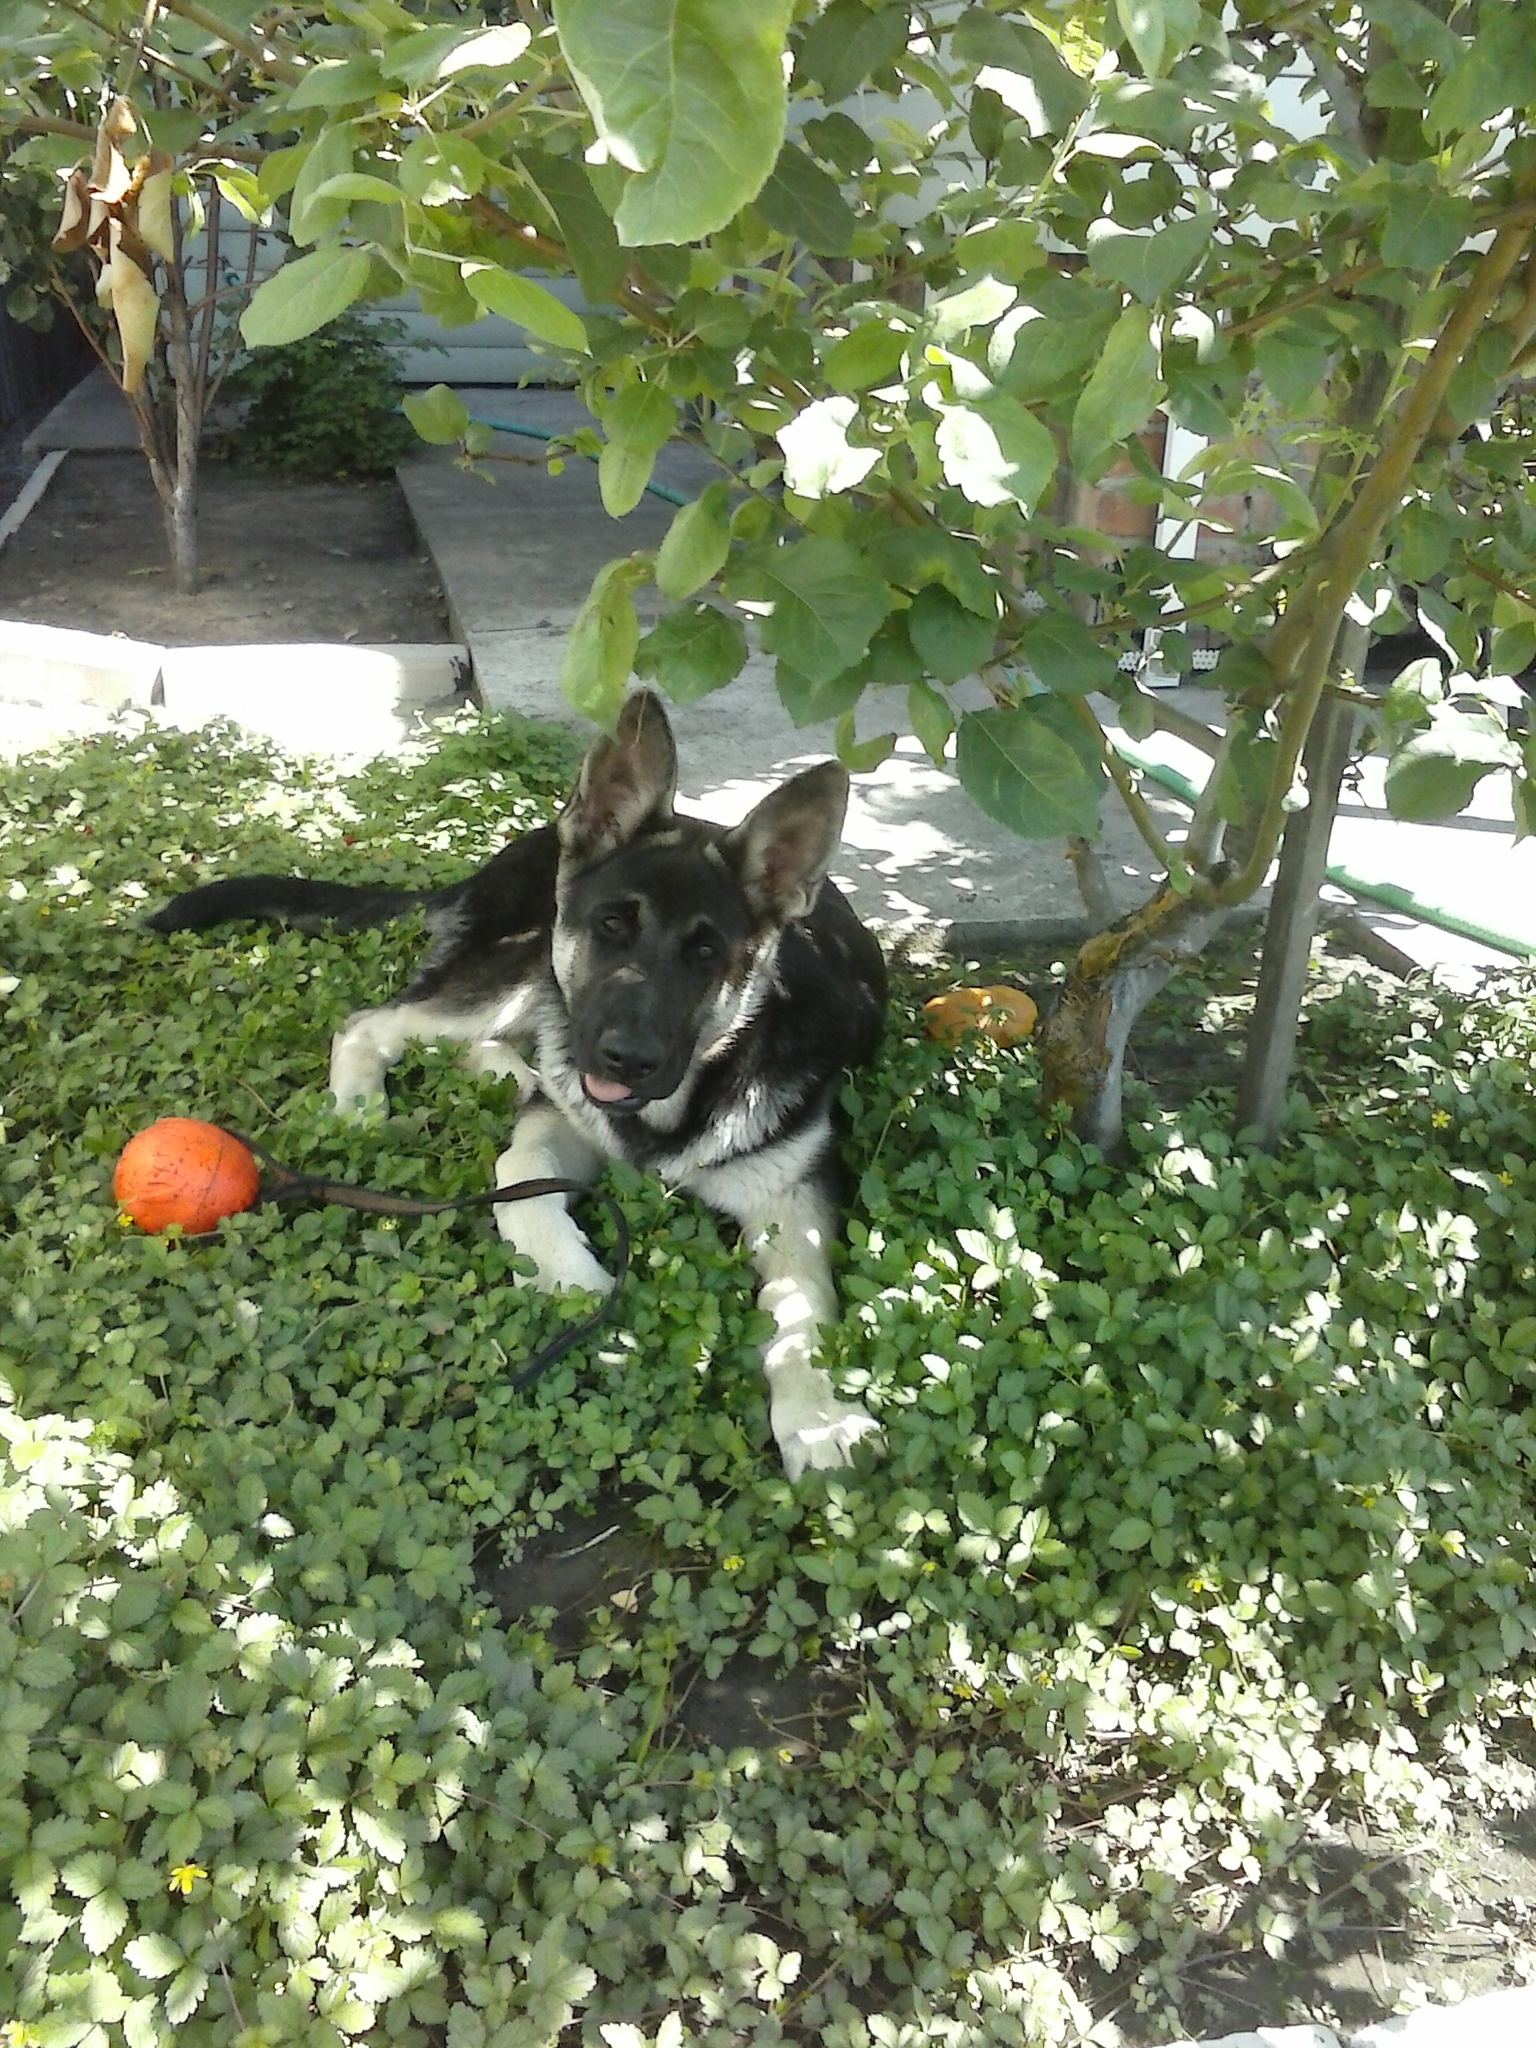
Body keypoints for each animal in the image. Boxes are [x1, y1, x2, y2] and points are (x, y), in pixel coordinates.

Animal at [147, 688, 888, 1474]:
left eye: (707, 952)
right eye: (610, 926)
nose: (625, 1059)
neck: (676, 1107)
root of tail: (539, 837)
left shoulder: (793, 1198)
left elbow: (803, 1314)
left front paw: (818, 1418)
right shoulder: (562, 1123)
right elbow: (517, 1177)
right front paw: (573, 1277)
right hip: (522, 967)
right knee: (374, 1023)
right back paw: (361, 1103)